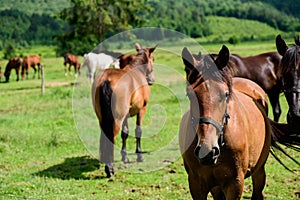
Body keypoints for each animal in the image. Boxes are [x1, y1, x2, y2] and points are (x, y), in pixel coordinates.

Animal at [91, 43, 157, 177]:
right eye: (153, 59)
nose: (152, 80)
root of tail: (106, 79)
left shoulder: (125, 115)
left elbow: (125, 133)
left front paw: (125, 157)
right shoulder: (142, 109)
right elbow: (138, 130)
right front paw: (139, 155)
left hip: (102, 118)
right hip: (116, 119)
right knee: (112, 136)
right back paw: (109, 168)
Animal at [179, 45, 292, 200]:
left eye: (226, 94)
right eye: (190, 95)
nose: (207, 151)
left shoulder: (235, 184)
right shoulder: (196, 185)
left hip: (259, 171)